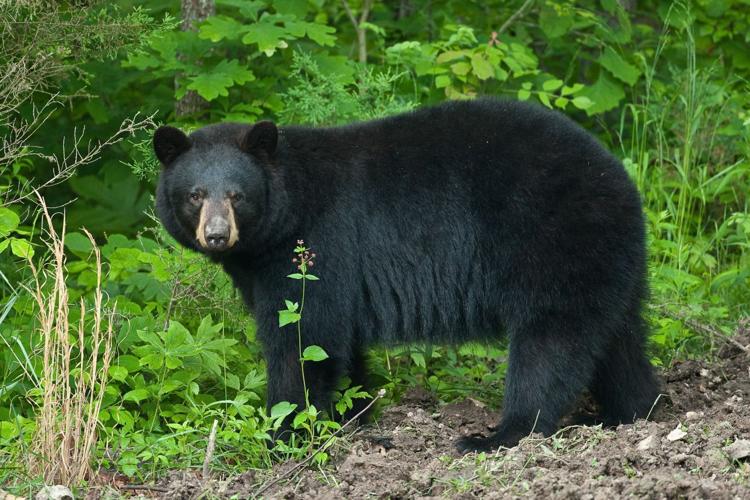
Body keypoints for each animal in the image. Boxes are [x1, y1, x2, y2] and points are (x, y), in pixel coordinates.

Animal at [153, 98, 660, 452]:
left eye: (236, 195)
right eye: (195, 194)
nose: (217, 236)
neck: (285, 212)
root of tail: (617, 175)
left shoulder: (315, 247)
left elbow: (303, 336)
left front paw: (286, 433)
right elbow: (340, 345)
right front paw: (351, 417)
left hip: (552, 241)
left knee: (550, 342)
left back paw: (501, 434)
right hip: (608, 259)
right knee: (618, 337)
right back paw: (629, 412)